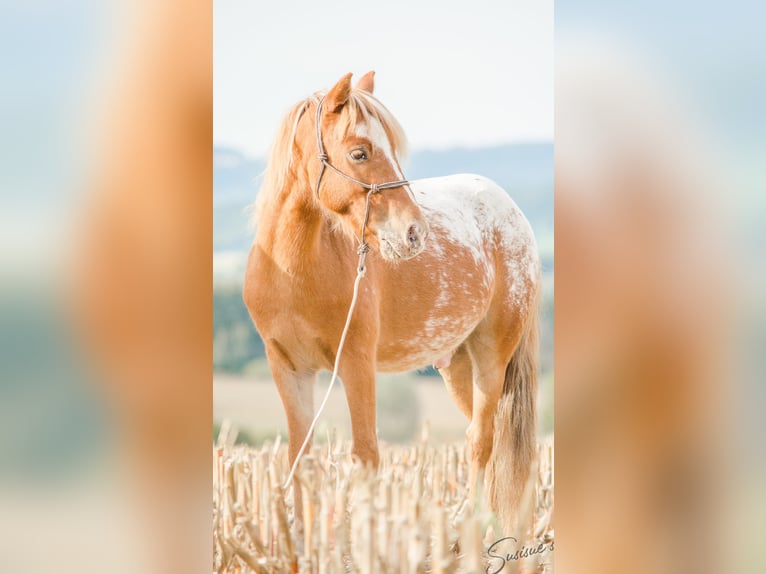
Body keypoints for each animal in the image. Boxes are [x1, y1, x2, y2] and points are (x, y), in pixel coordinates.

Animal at [244, 72, 540, 536]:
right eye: (359, 152)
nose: (415, 233)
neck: (295, 270)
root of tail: (512, 211)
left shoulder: (356, 363)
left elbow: (366, 454)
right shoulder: (288, 369)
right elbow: (301, 457)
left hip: (491, 356)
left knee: (481, 440)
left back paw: (473, 523)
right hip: (458, 366)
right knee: (486, 437)